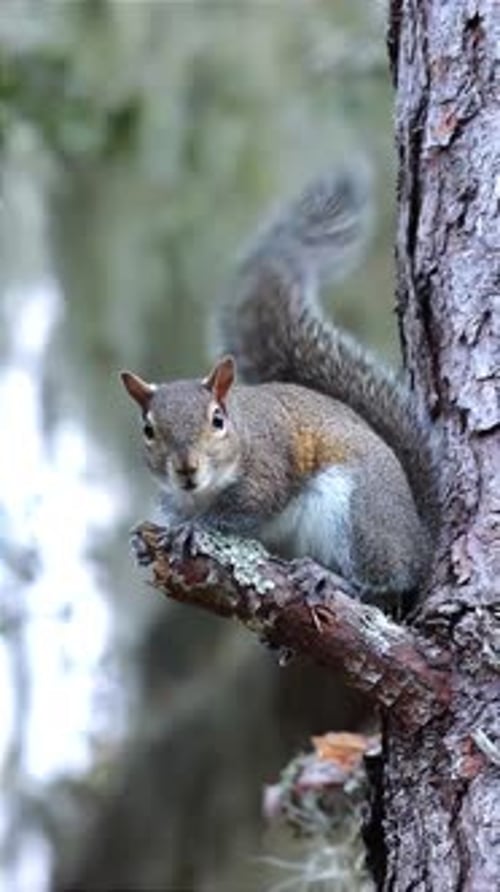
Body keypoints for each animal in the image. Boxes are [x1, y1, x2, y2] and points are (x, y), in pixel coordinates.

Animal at [121, 169, 440, 608]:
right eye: (148, 430)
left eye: (217, 420)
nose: (186, 469)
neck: (203, 491)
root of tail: (420, 540)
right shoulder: (173, 497)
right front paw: (143, 543)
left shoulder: (268, 469)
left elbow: (246, 508)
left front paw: (198, 529)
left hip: (359, 512)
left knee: (384, 580)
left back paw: (332, 578)